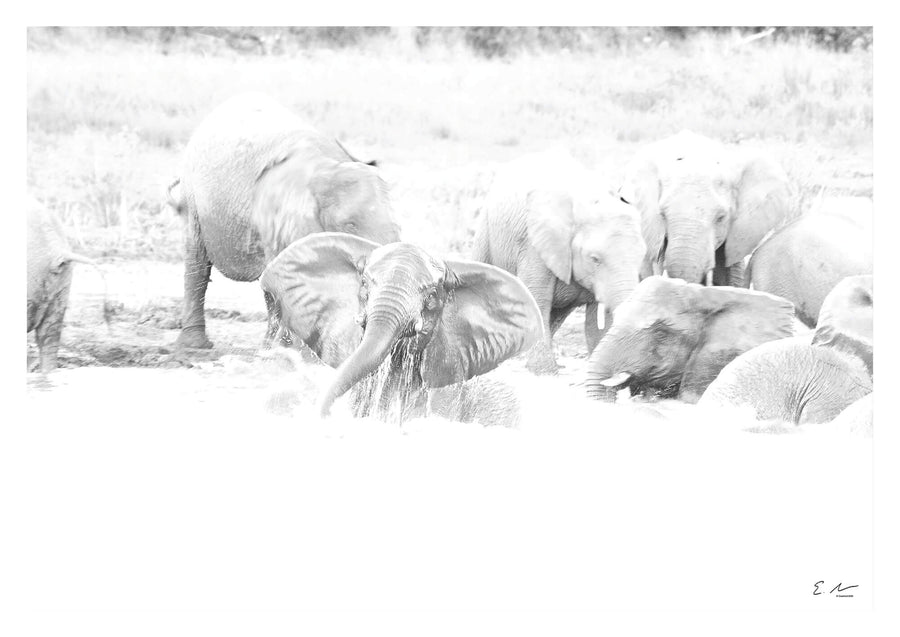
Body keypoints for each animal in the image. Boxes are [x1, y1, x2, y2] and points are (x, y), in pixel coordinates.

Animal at [172, 92, 401, 349]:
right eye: (350, 225)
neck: (324, 167)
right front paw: (280, 349)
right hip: (192, 196)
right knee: (197, 261)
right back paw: (194, 346)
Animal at [472, 148, 646, 373]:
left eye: (641, 256)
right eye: (595, 259)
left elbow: (595, 316)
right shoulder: (534, 245)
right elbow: (538, 297)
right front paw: (543, 372)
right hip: (486, 231)